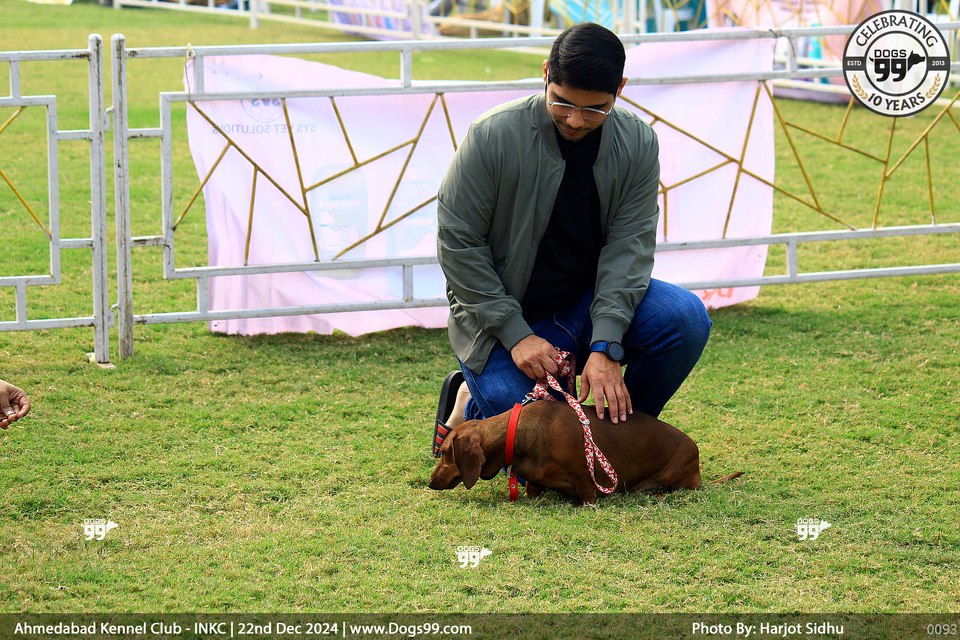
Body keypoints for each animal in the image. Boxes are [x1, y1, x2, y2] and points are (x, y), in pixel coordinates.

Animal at [429, 400, 741, 505]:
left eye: (444, 452)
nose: (430, 483)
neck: (519, 434)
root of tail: (698, 470)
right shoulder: (534, 483)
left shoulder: (585, 478)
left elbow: (586, 494)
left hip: (677, 479)